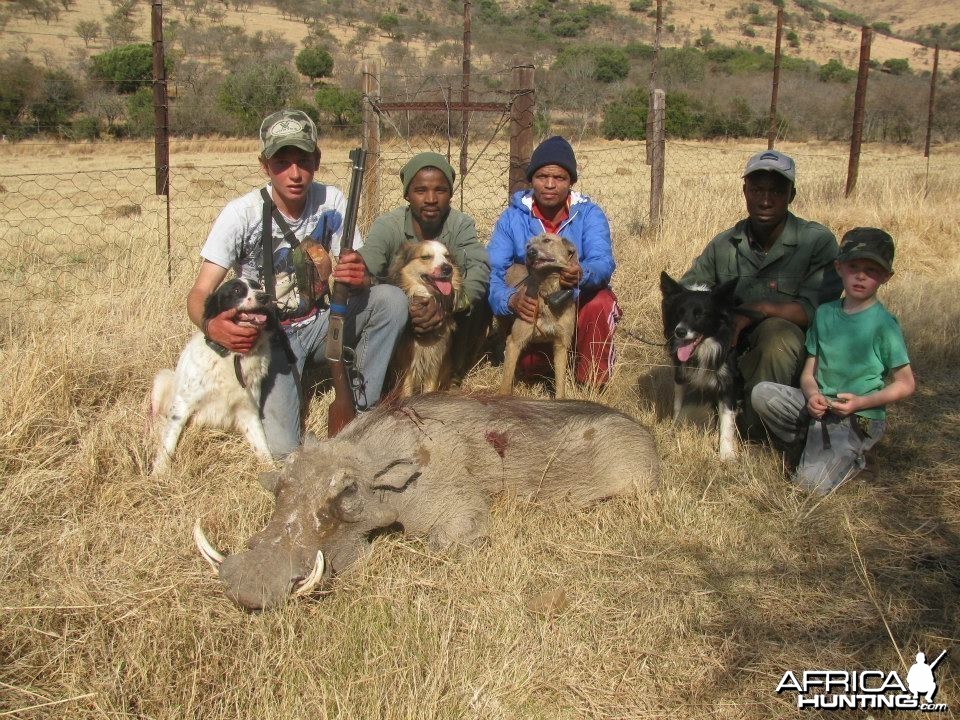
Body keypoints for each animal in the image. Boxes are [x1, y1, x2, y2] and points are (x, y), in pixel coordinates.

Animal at [148, 276, 274, 472]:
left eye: (258, 286)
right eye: (237, 290)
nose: (264, 296)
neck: (232, 356)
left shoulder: (249, 410)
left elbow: (263, 448)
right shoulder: (182, 406)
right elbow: (169, 442)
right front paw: (159, 472)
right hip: (163, 378)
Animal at [390, 240, 464, 396]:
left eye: (447, 256)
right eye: (425, 257)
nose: (448, 268)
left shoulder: (435, 361)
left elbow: (430, 389)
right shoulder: (407, 363)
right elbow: (406, 391)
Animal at [498, 232, 572, 396]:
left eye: (547, 240)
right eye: (528, 245)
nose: (530, 253)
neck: (547, 292)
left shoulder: (561, 346)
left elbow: (560, 385)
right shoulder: (514, 342)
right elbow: (505, 384)